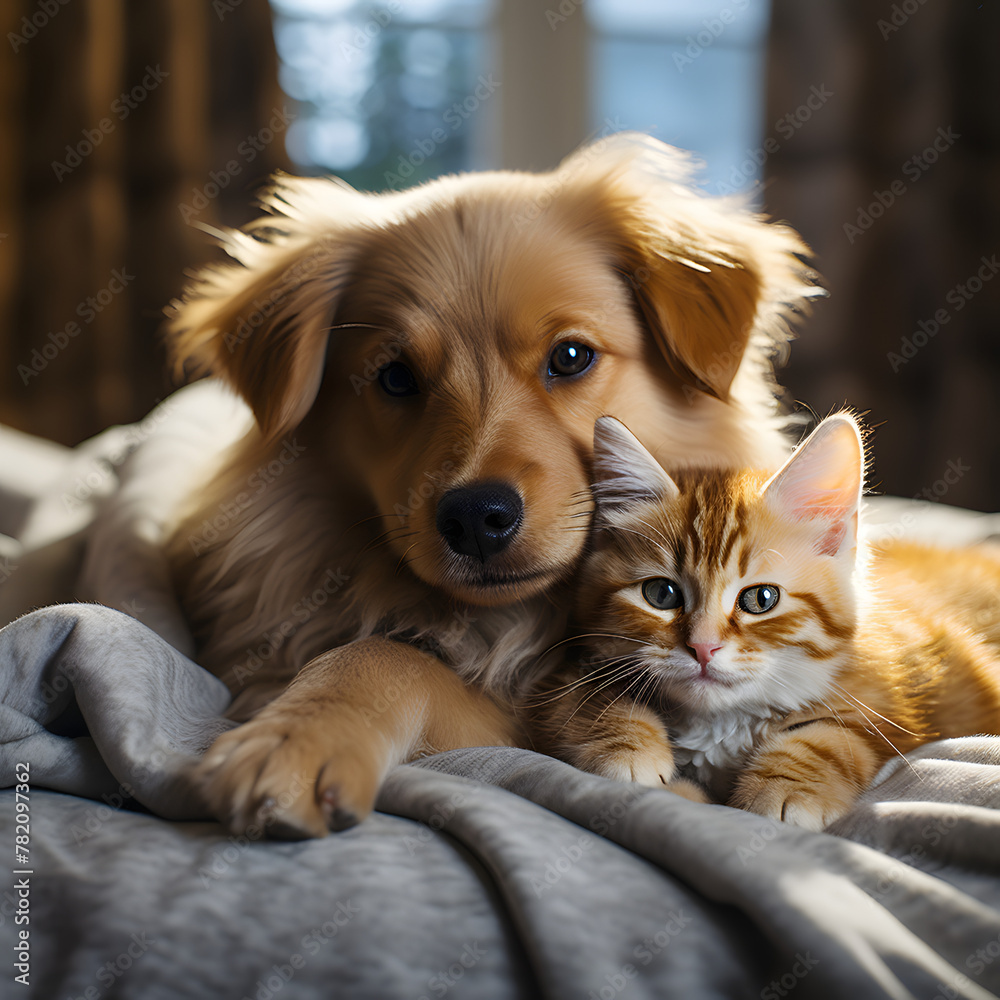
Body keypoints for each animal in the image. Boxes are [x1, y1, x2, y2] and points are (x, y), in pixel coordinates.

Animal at [164, 133, 816, 836]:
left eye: (571, 356)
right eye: (395, 378)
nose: (476, 516)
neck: (507, 626)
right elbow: (380, 654)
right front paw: (292, 736)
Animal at [536, 414, 1000, 828]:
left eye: (760, 599)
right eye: (661, 595)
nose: (702, 647)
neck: (720, 725)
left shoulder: (902, 698)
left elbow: (833, 736)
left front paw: (784, 787)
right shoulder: (563, 672)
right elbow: (585, 694)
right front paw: (627, 748)